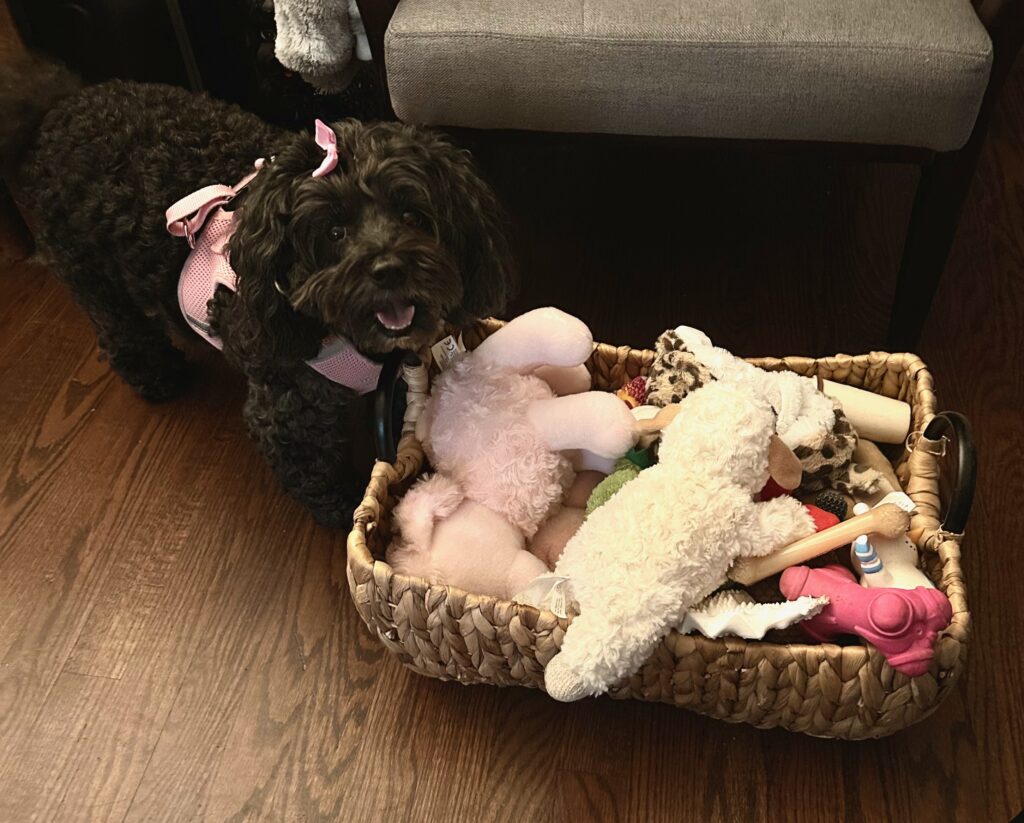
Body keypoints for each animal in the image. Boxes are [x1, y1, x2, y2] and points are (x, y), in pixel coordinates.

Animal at [0, 62, 512, 528]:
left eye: (412, 215)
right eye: (334, 231)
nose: (389, 270)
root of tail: (58, 106)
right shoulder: (288, 410)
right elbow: (316, 472)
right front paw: (350, 509)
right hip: (93, 276)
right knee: (123, 332)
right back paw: (160, 378)